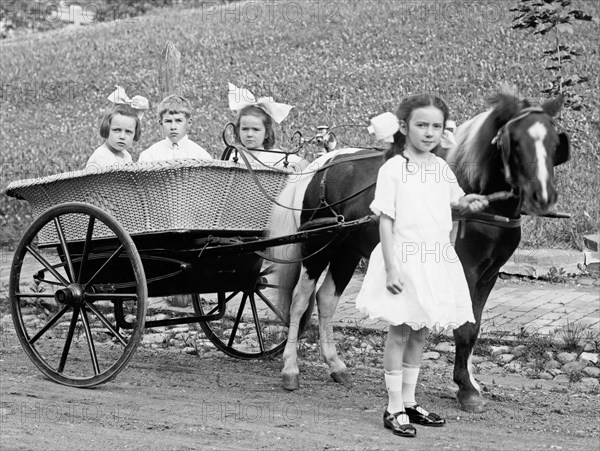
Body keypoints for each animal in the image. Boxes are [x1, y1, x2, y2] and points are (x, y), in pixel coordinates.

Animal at [270, 92, 568, 414]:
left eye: (555, 142)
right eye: (514, 142)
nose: (543, 196)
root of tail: (322, 163)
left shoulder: (488, 275)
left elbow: (473, 327)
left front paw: (469, 385)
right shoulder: (465, 271)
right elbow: (464, 328)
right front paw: (466, 388)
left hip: (344, 251)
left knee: (326, 299)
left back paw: (336, 366)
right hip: (316, 248)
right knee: (299, 302)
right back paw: (290, 368)